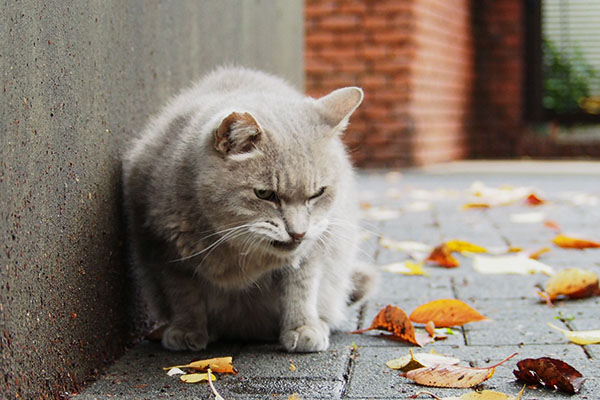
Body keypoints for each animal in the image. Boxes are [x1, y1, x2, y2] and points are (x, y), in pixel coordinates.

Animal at [121, 67, 376, 352]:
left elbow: (300, 287)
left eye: (317, 193)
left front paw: (302, 327)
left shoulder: (316, 246)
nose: (298, 233)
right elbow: (183, 294)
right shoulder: (165, 251)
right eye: (265, 194)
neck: (239, 252)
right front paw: (187, 329)